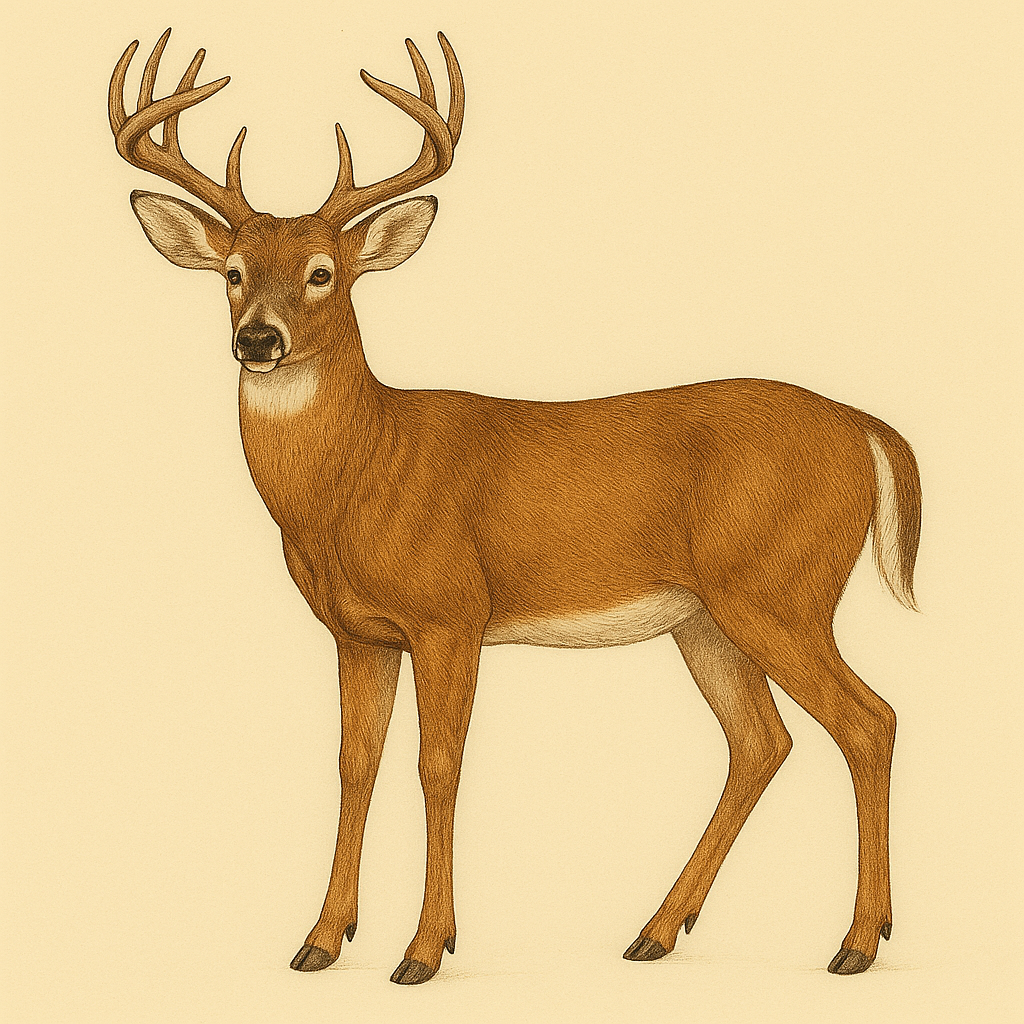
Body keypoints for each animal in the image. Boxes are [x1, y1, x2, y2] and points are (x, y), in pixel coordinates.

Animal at [108, 28, 921, 985]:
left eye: (322, 273)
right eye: (233, 273)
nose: (258, 340)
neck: (363, 472)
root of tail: (865, 428)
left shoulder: (451, 613)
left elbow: (438, 766)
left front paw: (424, 949)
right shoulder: (358, 632)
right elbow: (354, 764)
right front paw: (320, 939)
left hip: (781, 590)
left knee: (869, 722)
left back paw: (857, 942)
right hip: (707, 617)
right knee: (763, 741)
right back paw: (657, 930)